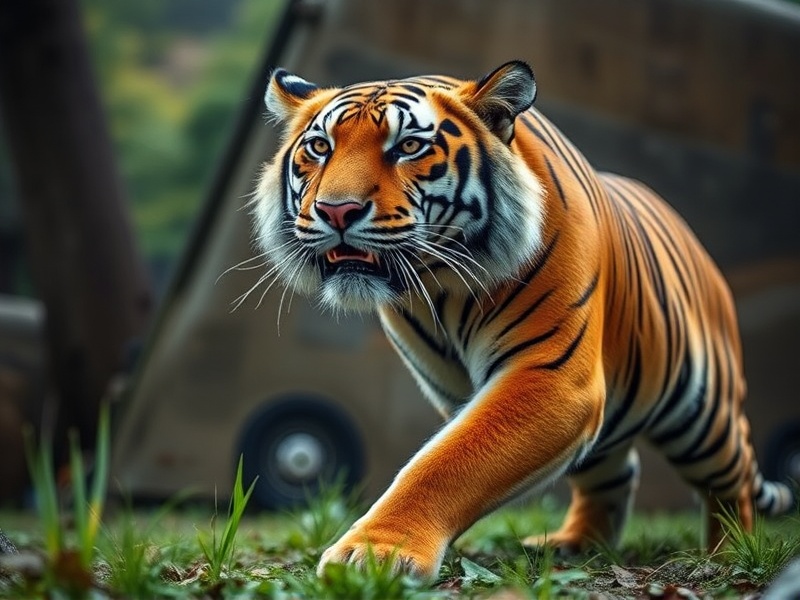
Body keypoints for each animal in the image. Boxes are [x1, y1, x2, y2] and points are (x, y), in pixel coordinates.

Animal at [252, 60, 795, 580]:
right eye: (320, 147)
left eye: (408, 146)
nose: (336, 210)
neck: (436, 286)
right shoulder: (461, 393)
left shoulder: (551, 375)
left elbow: (445, 462)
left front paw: (376, 553)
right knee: (615, 473)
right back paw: (575, 544)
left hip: (704, 415)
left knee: (733, 475)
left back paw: (730, 551)